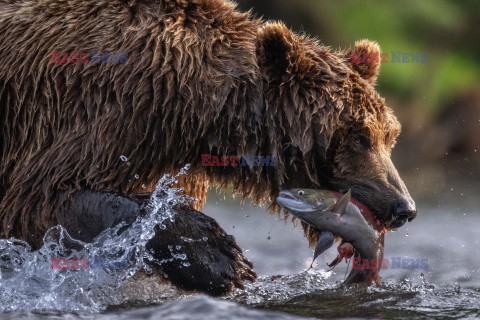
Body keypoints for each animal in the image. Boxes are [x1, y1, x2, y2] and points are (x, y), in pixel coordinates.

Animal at [0, 0, 412, 296]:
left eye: (389, 135)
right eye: (357, 136)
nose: (402, 207)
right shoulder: (93, 110)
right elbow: (44, 197)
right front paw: (221, 257)